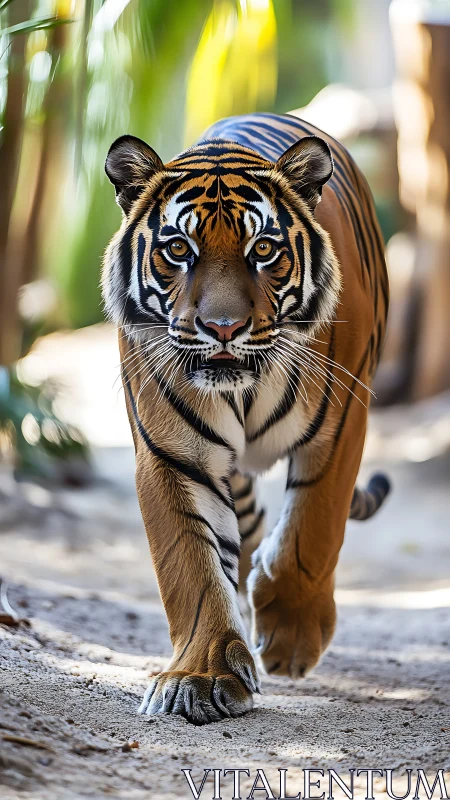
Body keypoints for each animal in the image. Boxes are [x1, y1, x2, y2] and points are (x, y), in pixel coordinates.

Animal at [102, 112, 390, 725]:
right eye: (178, 249)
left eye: (263, 249)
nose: (223, 328)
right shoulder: (172, 456)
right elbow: (191, 566)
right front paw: (202, 675)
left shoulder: (341, 428)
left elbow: (314, 529)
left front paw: (291, 636)